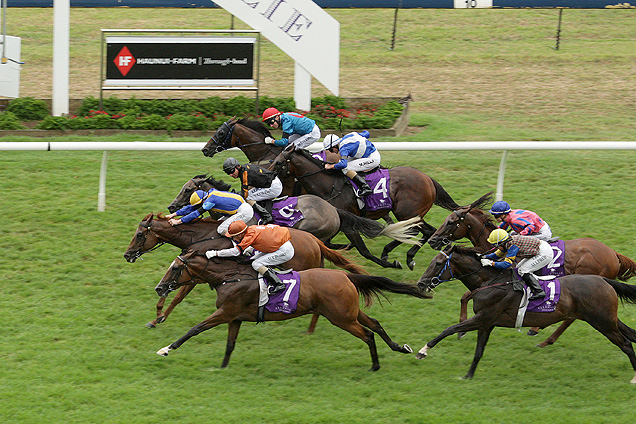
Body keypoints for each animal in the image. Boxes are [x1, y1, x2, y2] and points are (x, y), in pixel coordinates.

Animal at [123, 215, 372, 328]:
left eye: (139, 235)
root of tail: (314, 240)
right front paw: (157, 317)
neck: (201, 236)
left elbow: (177, 296)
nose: (127, 255)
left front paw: (159, 316)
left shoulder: (196, 273)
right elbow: (174, 295)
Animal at [156, 250, 430, 370]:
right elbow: (230, 345)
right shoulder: (235, 318)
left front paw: (166, 349)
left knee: (368, 334)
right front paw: (222, 368)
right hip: (349, 311)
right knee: (375, 323)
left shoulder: (225, 313)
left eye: (175, 269)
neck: (230, 278)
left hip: (340, 317)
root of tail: (344, 275)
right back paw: (399, 347)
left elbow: (194, 329)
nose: (159, 288)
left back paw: (375, 366)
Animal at [266, 142, 460, 268]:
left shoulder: (347, 223)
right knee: (425, 231)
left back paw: (399, 255)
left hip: (408, 213)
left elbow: (360, 248)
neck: (329, 184)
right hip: (412, 214)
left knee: (419, 231)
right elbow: (328, 242)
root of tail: (428, 179)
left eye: (278, 162)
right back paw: (404, 255)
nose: (266, 175)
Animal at [414, 243, 636, 382]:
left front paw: (423, 351)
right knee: (631, 335)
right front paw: (468, 375)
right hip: (609, 319)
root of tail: (604, 280)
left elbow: (450, 329)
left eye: (438, 263)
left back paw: (634, 377)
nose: (421, 284)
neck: (490, 281)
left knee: (625, 344)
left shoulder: (483, 318)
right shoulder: (487, 323)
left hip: (603, 322)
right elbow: (478, 352)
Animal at [424, 192, 636, 348]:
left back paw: (542, 335)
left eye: (450, 222)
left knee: (570, 318)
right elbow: (465, 296)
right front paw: (461, 329)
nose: (433, 240)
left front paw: (461, 329)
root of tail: (613, 254)